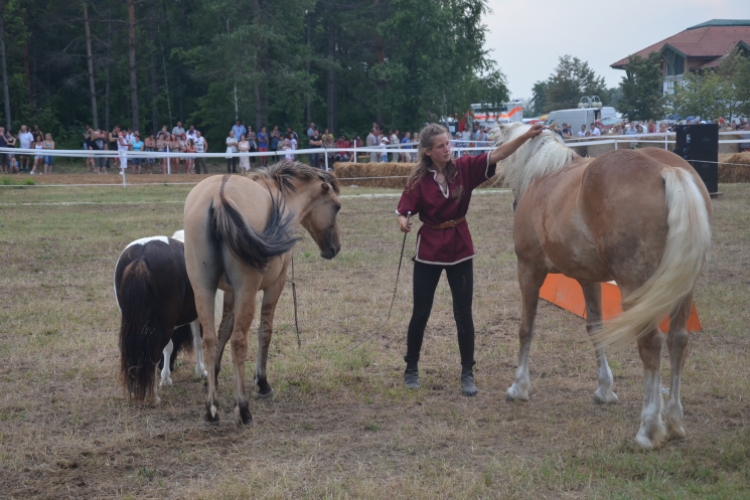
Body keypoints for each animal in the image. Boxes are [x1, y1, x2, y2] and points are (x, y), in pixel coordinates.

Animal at [113, 232, 222, 404]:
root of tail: (142, 256)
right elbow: (197, 341)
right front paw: (201, 371)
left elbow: (171, 347)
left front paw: (166, 378)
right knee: (152, 354)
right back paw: (153, 397)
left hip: (135, 323)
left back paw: (134, 393)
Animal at [185, 161, 344, 426]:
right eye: (337, 206)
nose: (335, 248)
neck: (281, 196)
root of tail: (219, 196)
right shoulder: (274, 286)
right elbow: (265, 330)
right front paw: (262, 382)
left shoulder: (229, 293)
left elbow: (223, 329)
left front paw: (213, 376)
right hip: (247, 290)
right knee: (240, 340)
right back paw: (243, 408)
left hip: (203, 289)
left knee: (209, 339)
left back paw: (211, 409)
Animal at [496, 124, 712, 450]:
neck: (543, 174)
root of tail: (665, 169)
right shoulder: (588, 279)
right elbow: (595, 329)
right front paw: (604, 390)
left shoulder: (529, 269)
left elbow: (526, 329)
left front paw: (519, 387)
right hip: (683, 288)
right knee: (678, 341)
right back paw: (674, 421)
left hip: (636, 287)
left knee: (652, 344)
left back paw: (649, 428)